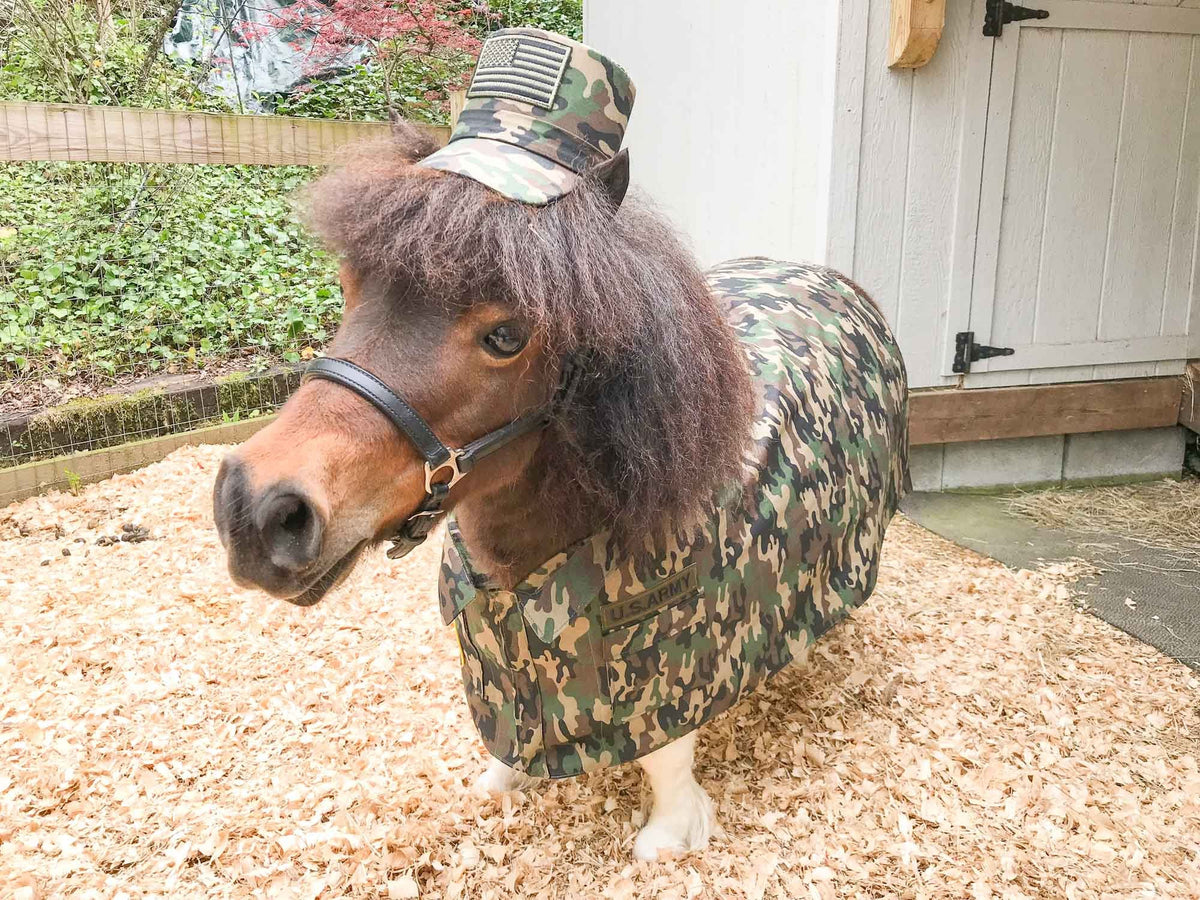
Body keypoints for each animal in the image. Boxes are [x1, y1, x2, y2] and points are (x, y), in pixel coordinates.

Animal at [213, 119, 910, 860]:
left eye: (507, 335)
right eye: (350, 284)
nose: (254, 510)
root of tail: (829, 277)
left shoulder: (669, 660)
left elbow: (665, 751)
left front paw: (670, 832)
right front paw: (500, 781)